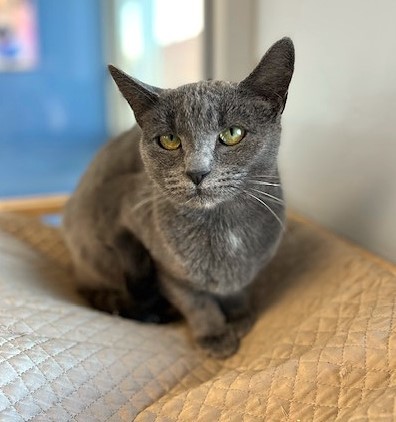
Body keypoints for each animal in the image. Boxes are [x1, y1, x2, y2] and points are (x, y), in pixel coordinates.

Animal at [63, 37, 294, 360]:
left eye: (233, 133)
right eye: (169, 140)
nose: (197, 172)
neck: (223, 230)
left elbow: (237, 289)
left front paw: (239, 316)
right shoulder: (132, 224)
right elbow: (194, 301)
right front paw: (215, 334)